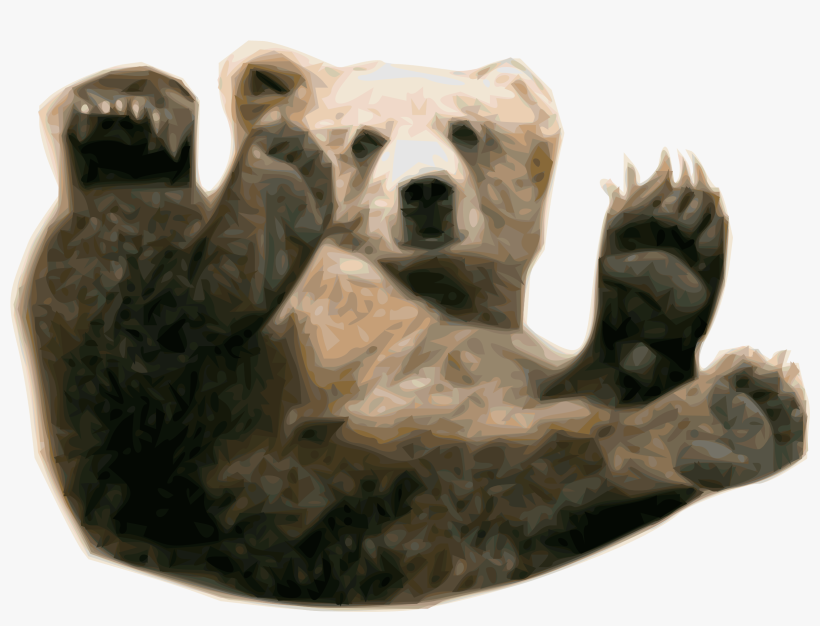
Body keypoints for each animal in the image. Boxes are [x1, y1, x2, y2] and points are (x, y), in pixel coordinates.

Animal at [16, 41, 807, 606]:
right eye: (365, 138)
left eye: (467, 131)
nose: (427, 193)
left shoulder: (470, 360)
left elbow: (556, 400)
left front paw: (662, 256)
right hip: (174, 447)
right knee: (116, 281)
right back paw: (160, 144)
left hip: (329, 495)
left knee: (505, 485)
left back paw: (709, 366)